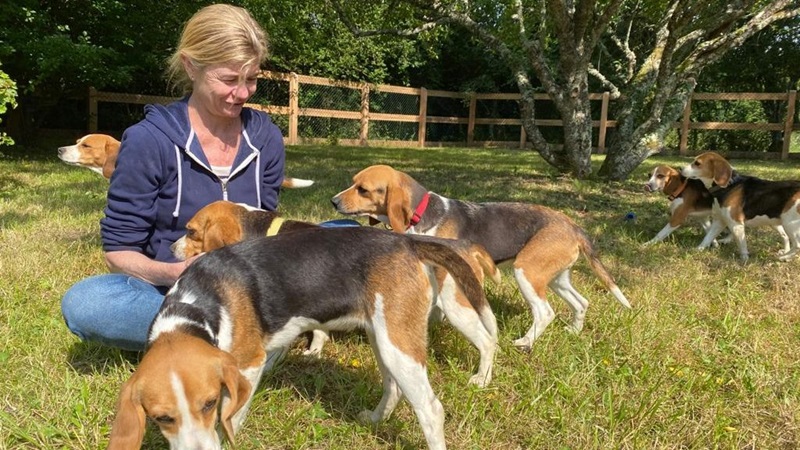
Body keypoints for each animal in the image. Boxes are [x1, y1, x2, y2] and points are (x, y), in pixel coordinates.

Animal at [106, 227, 494, 448]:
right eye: (162, 419)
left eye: (209, 404)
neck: (196, 306)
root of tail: (408, 242)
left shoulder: (248, 365)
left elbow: (232, 417)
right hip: (382, 337)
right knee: (394, 387)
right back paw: (375, 419)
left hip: (398, 342)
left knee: (431, 409)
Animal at [173, 200, 504, 358]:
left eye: (190, 231)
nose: (171, 248)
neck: (263, 229)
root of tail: (464, 246)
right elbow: (319, 331)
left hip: (460, 307)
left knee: (487, 343)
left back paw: (480, 379)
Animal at [332, 165, 632, 352]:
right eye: (353, 183)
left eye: (363, 189)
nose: (334, 201)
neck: (422, 213)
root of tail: (573, 225)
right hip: (556, 277)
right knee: (581, 302)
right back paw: (574, 331)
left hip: (527, 271)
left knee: (545, 312)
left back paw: (525, 342)